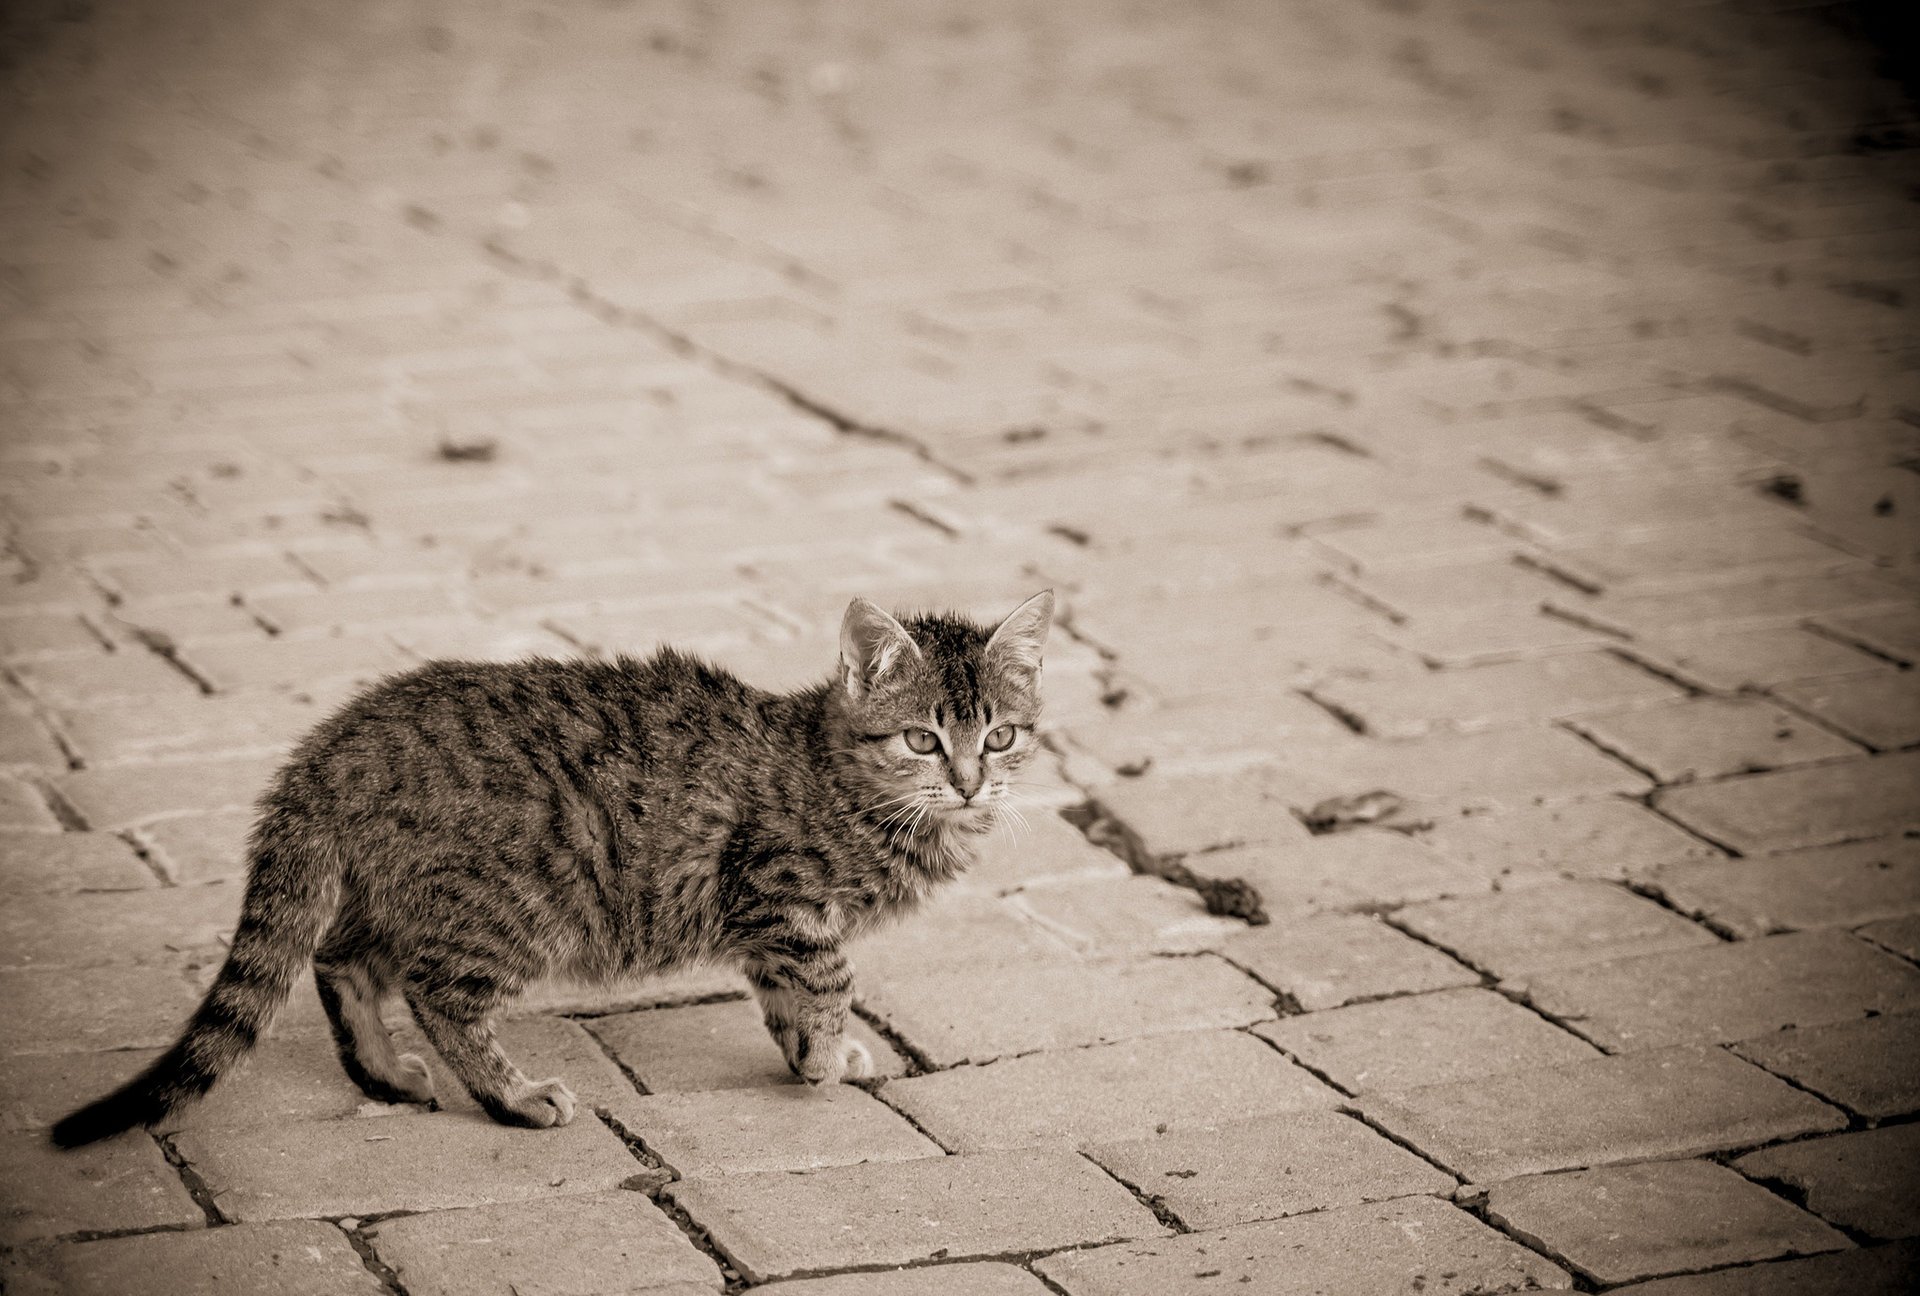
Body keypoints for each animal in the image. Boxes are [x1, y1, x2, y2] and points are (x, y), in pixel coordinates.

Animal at [52, 587, 1059, 1144]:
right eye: (922, 740)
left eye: (1000, 736)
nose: (969, 783)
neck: (845, 779)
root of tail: (335, 744)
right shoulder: (784, 898)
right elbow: (827, 980)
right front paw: (821, 1054)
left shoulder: (774, 925)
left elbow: (788, 994)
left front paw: (810, 1054)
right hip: (514, 907)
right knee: (436, 992)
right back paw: (510, 1095)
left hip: (401, 890)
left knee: (341, 960)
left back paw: (382, 1073)